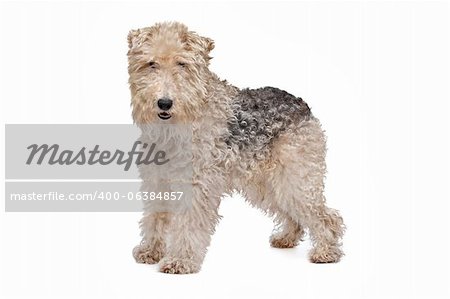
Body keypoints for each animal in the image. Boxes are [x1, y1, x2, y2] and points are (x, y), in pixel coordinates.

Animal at [126, 20, 344, 274]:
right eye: (151, 64)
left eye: (182, 64)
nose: (164, 103)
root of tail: (303, 104)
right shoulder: (158, 179)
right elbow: (155, 217)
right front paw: (150, 251)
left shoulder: (196, 184)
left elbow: (188, 225)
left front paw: (181, 260)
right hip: (269, 184)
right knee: (293, 215)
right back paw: (286, 238)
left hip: (295, 180)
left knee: (327, 217)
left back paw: (326, 251)